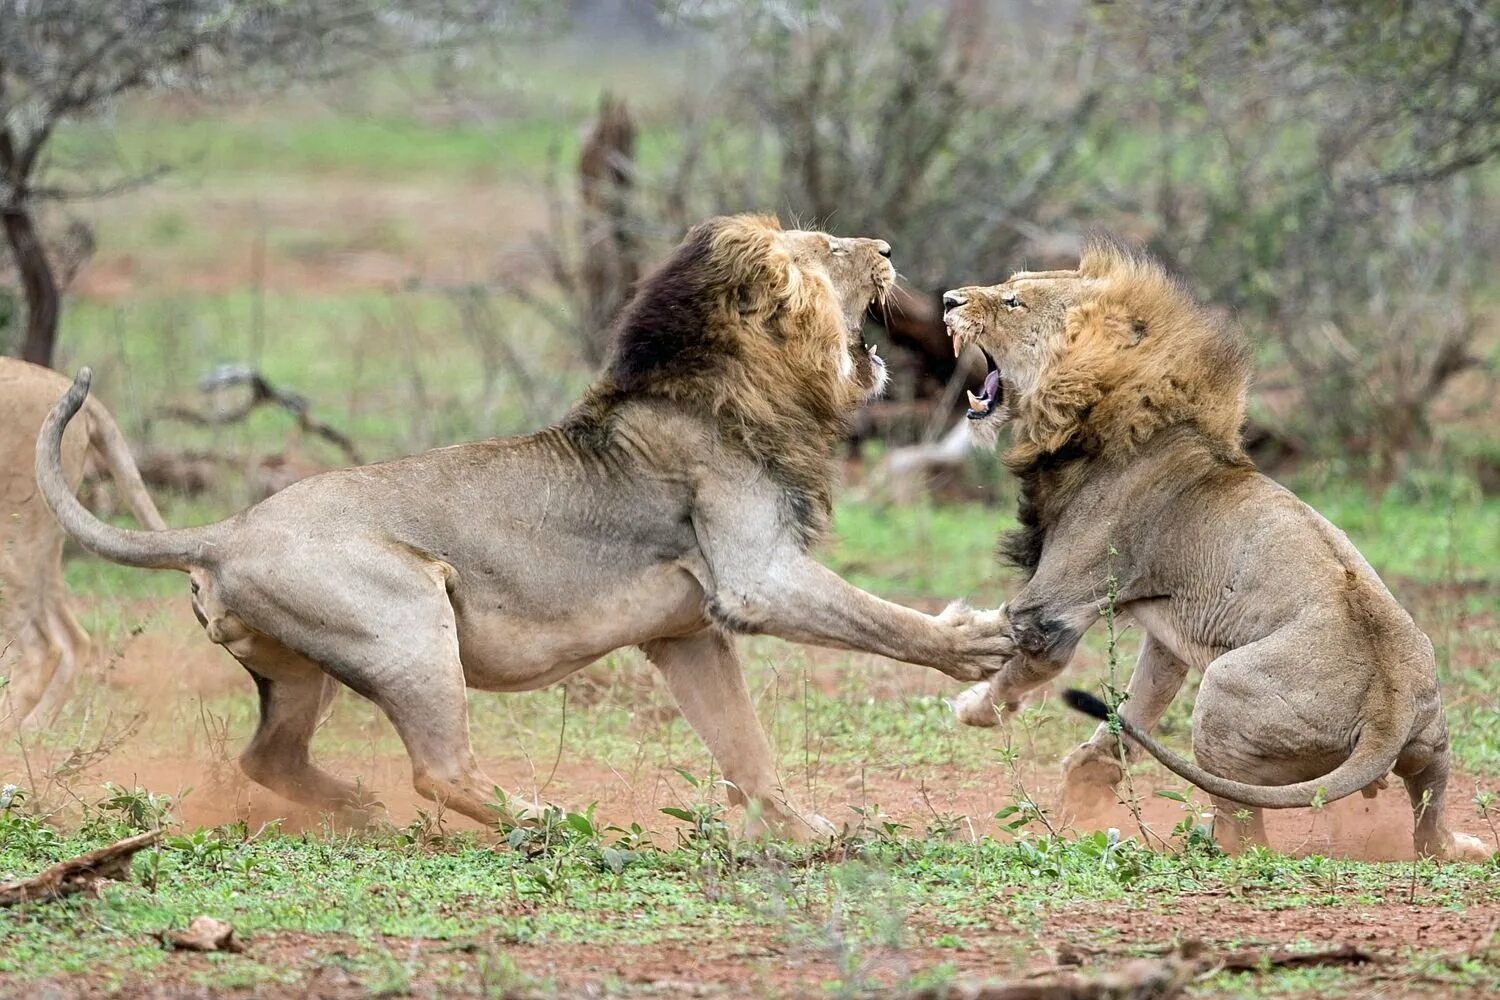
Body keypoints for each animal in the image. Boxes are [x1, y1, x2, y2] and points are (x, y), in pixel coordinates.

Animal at [38, 217, 1008, 839]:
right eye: (831, 249)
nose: (889, 250)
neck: (743, 385)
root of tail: (224, 531)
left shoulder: (688, 633)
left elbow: (746, 745)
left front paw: (807, 830)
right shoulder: (755, 577)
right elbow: (882, 618)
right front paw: (977, 644)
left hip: (301, 668)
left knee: (265, 759)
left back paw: (355, 807)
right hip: (409, 620)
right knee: (438, 769)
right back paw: (542, 819)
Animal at [942, 242, 1482, 863]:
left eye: (1013, 301)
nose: (948, 300)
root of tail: (1387, 711)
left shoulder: (1053, 607)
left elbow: (1019, 664)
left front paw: (971, 705)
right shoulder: (1165, 633)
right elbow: (1136, 709)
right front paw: (1085, 783)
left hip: (1222, 696)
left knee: (1246, 835)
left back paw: (1198, 842)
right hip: (1432, 744)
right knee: (1428, 823)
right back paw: (1461, 845)